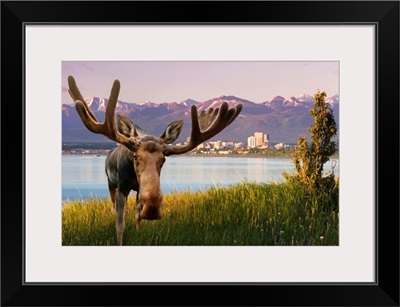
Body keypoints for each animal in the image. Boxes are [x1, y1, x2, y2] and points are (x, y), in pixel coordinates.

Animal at [68, 76, 242, 247]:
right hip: (110, 182)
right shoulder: (121, 187)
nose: (152, 208)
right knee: (113, 205)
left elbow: (137, 217)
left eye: (163, 159)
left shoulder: (139, 190)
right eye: (135, 157)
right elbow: (120, 224)